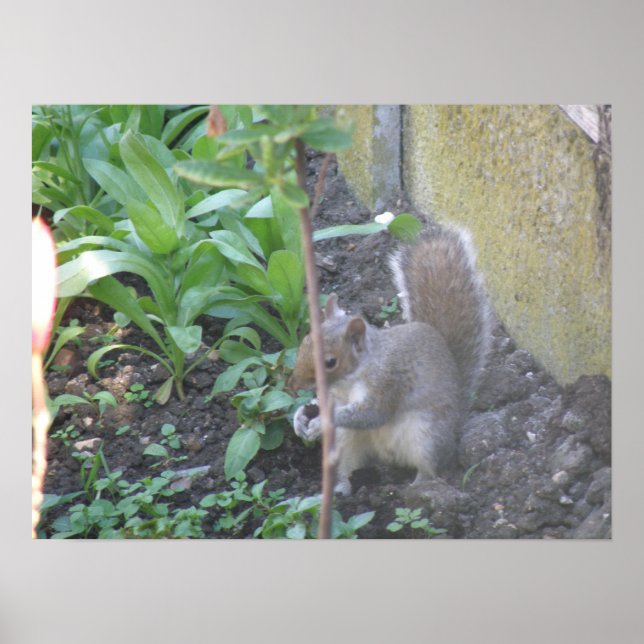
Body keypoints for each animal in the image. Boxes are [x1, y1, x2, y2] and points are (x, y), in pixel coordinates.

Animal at [289, 225, 492, 496]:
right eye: (305, 342)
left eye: (330, 362)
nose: (294, 384)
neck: (351, 378)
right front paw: (300, 417)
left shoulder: (387, 381)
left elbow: (372, 414)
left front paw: (320, 422)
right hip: (349, 439)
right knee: (347, 463)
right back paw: (341, 488)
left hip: (426, 436)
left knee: (430, 468)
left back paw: (418, 487)